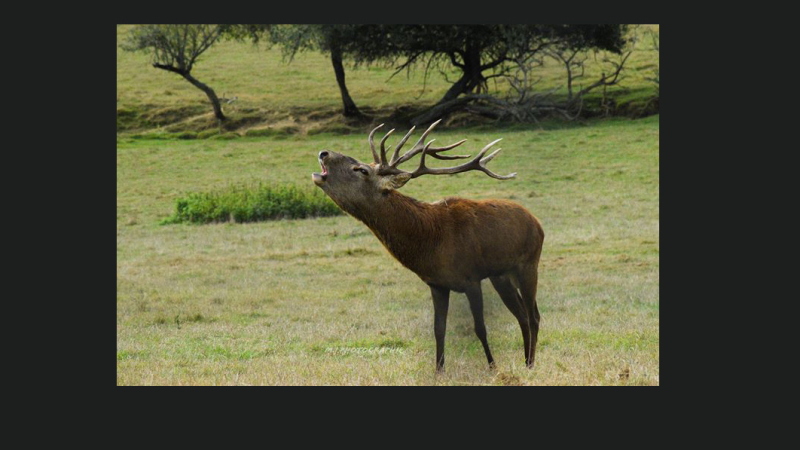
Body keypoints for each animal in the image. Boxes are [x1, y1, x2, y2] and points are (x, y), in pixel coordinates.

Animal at [311, 119, 544, 372]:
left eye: (362, 170)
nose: (324, 153)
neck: (432, 242)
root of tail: (537, 222)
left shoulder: (471, 278)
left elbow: (480, 329)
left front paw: (492, 367)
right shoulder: (437, 284)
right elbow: (438, 330)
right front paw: (439, 371)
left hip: (528, 264)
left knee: (533, 315)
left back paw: (531, 364)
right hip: (501, 275)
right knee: (521, 315)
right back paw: (525, 361)